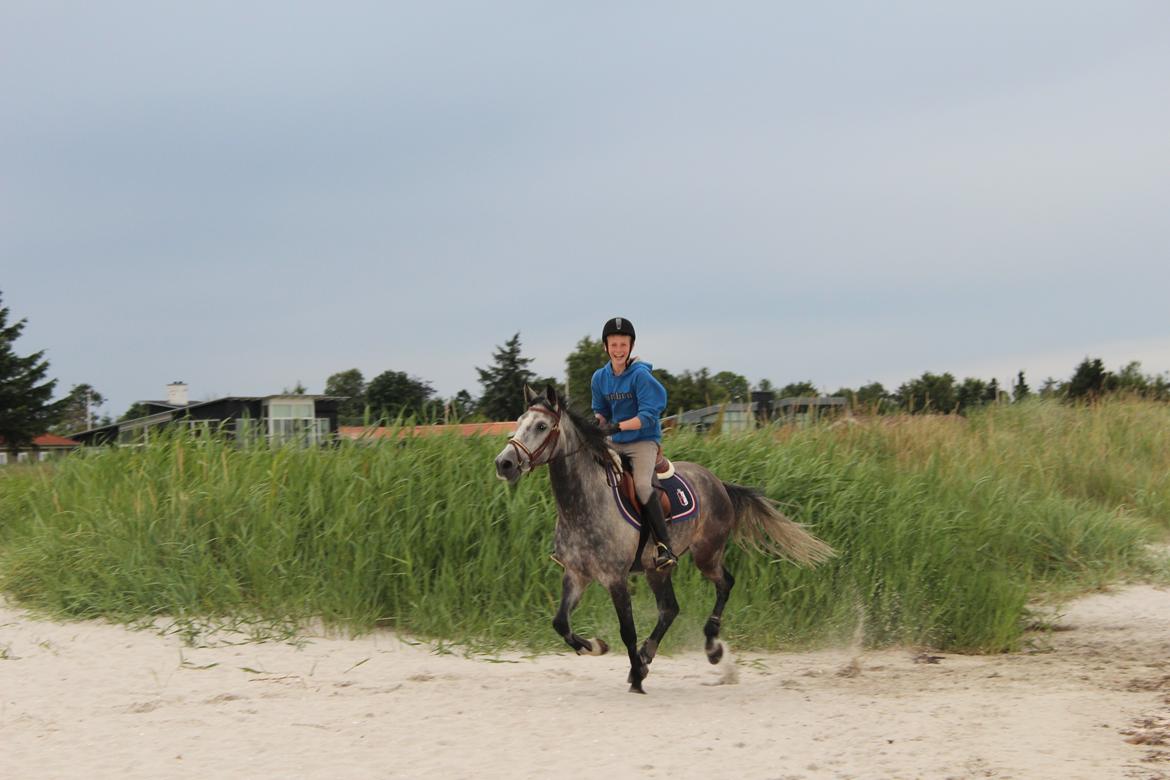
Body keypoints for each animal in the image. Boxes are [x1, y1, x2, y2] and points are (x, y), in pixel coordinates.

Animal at [493, 383, 833, 696]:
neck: (583, 502)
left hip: (706, 555)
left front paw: (637, 678)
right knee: (670, 609)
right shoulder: (576, 574)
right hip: (657, 568)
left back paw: (711, 648)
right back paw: (648, 655)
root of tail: (717, 482)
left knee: (725, 583)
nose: (504, 464)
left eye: (541, 426)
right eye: (519, 421)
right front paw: (598, 647)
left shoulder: (615, 578)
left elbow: (627, 630)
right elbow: (561, 622)